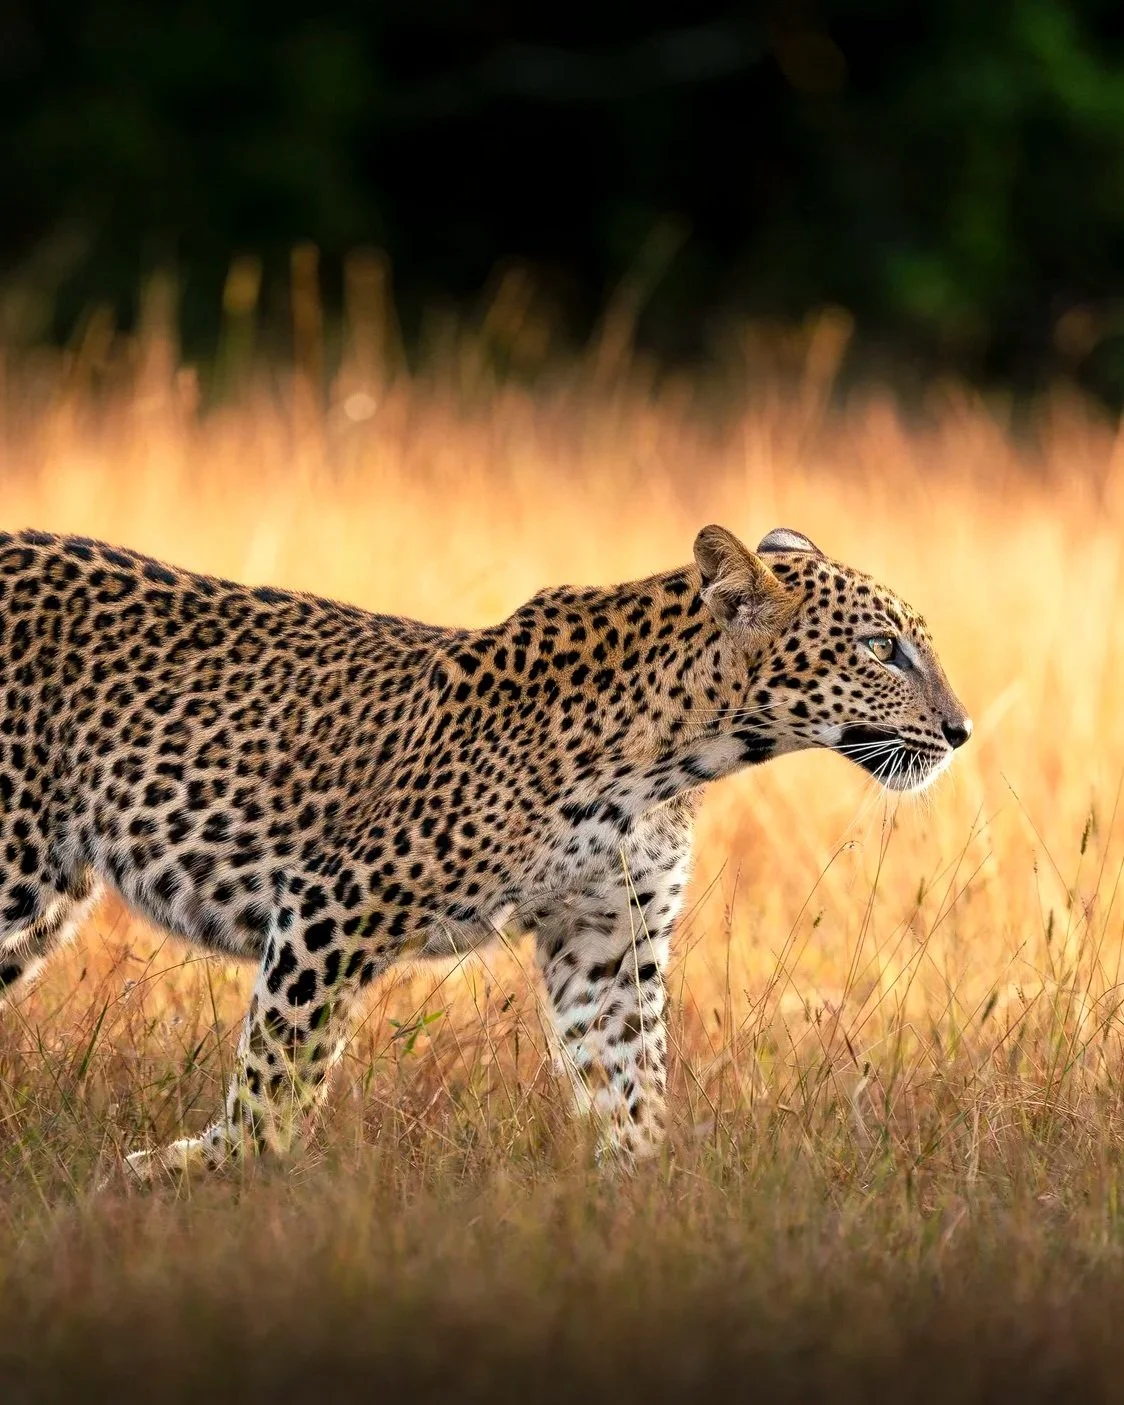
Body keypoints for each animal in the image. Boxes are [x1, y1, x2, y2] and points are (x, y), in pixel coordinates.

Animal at [0, 523, 970, 1179]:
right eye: (881, 649)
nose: (961, 732)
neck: (683, 753)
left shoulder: (607, 942)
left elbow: (630, 1084)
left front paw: (645, 1202)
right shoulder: (334, 902)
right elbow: (280, 1071)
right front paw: (211, 1170)